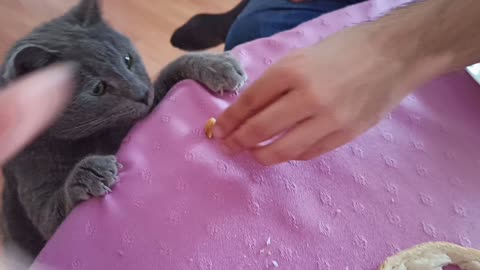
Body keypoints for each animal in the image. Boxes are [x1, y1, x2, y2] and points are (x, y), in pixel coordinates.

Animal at [0, 0, 248, 262]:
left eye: (127, 60)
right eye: (98, 88)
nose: (142, 93)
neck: (92, 137)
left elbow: (166, 78)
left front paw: (215, 65)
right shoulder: (30, 168)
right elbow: (50, 218)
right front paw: (89, 173)